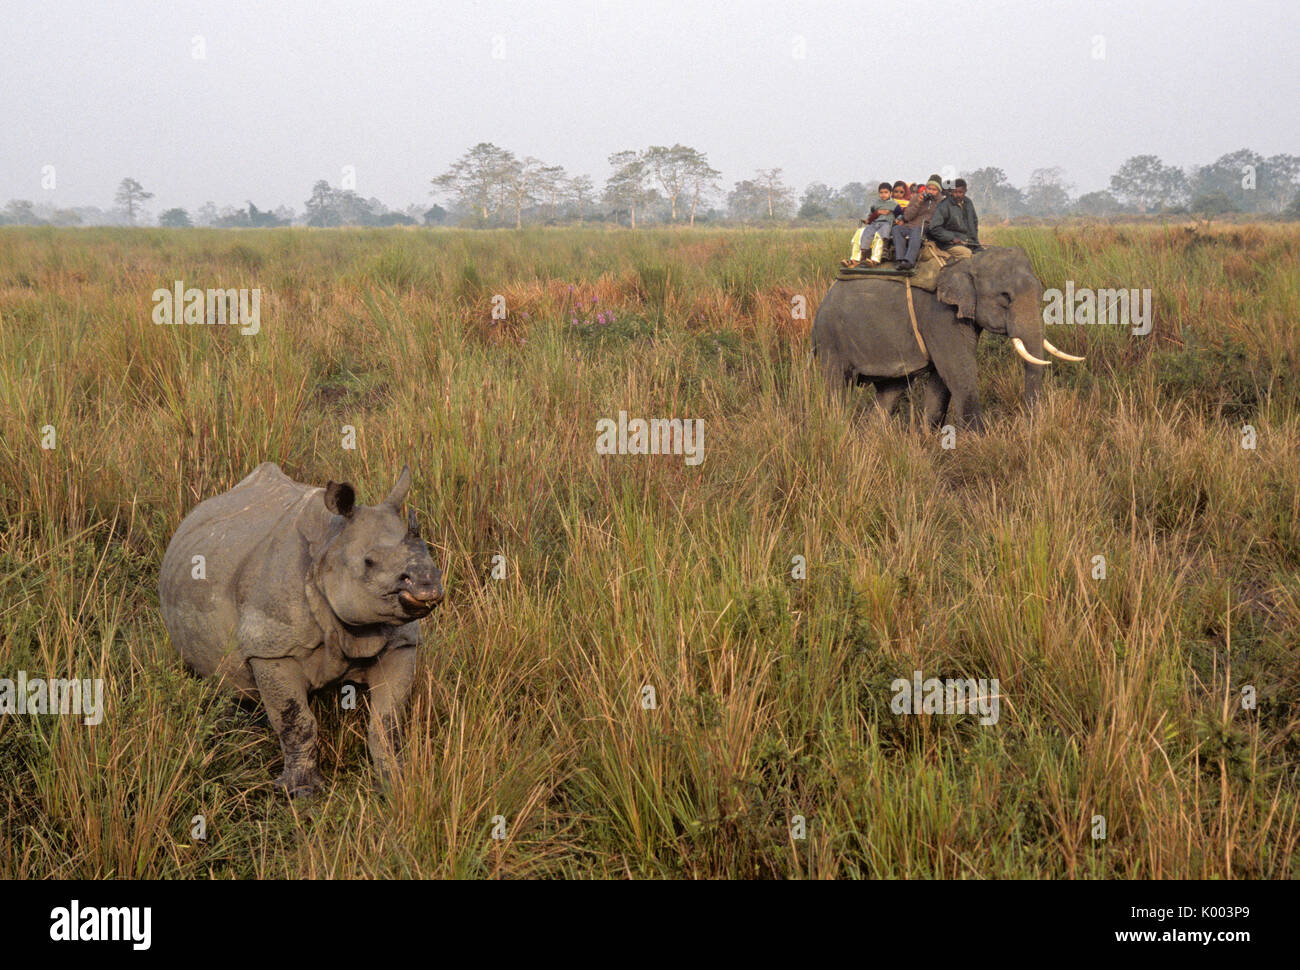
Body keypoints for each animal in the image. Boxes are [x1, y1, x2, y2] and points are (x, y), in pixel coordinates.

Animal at [806, 245, 1081, 426]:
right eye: (1005, 297)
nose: (1028, 428)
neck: (968, 261)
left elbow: (941, 379)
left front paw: (928, 439)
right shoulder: (939, 315)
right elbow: (958, 371)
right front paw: (980, 442)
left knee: (890, 391)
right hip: (831, 339)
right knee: (836, 387)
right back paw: (836, 428)